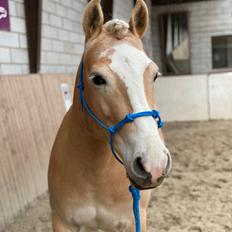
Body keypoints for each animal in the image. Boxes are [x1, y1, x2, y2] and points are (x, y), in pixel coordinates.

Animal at [48, 0, 172, 231]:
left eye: (155, 75)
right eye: (97, 78)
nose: (153, 164)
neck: (95, 174)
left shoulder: (134, 221)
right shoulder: (62, 222)